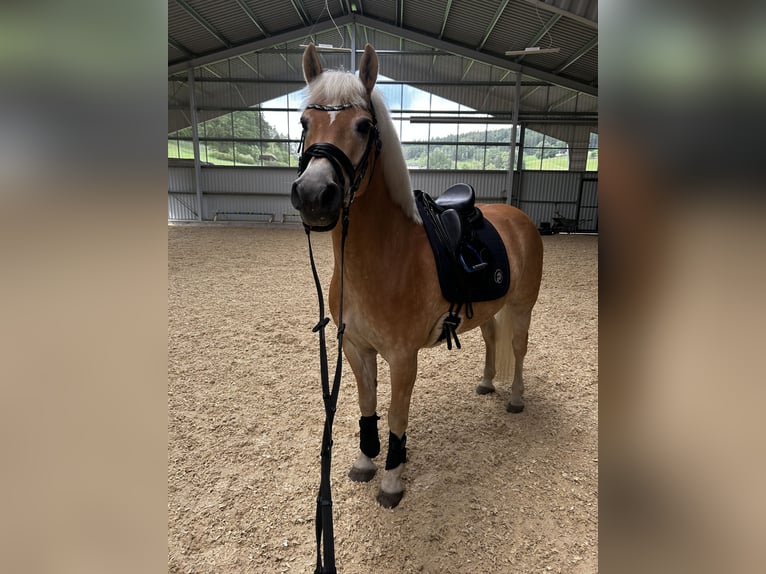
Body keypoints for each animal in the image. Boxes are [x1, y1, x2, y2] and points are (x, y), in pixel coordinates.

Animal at [290, 46, 544, 512]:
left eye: (363, 125)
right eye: (303, 123)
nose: (315, 195)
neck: (385, 257)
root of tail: (517, 217)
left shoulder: (403, 357)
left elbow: (395, 414)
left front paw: (392, 481)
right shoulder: (357, 349)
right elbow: (367, 406)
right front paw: (364, 462)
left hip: (522, 307)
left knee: (518, 349)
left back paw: (516, 398)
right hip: (490, 311)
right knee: (492, 339)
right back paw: (486, 383)